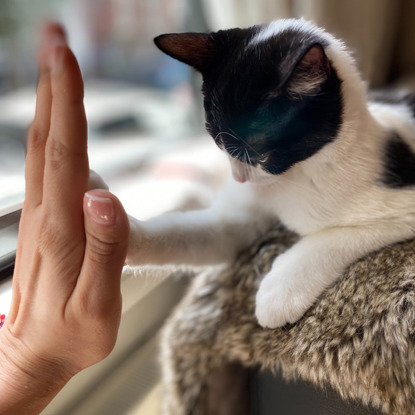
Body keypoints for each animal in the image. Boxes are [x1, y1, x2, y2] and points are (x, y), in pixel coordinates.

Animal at [125, 19, 415, 330]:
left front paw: (280, 289)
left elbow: (336, 236)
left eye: (259, 153)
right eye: (218, 142)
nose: (240, 178)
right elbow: (210, 232)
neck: (299, 173)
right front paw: (123, 234)